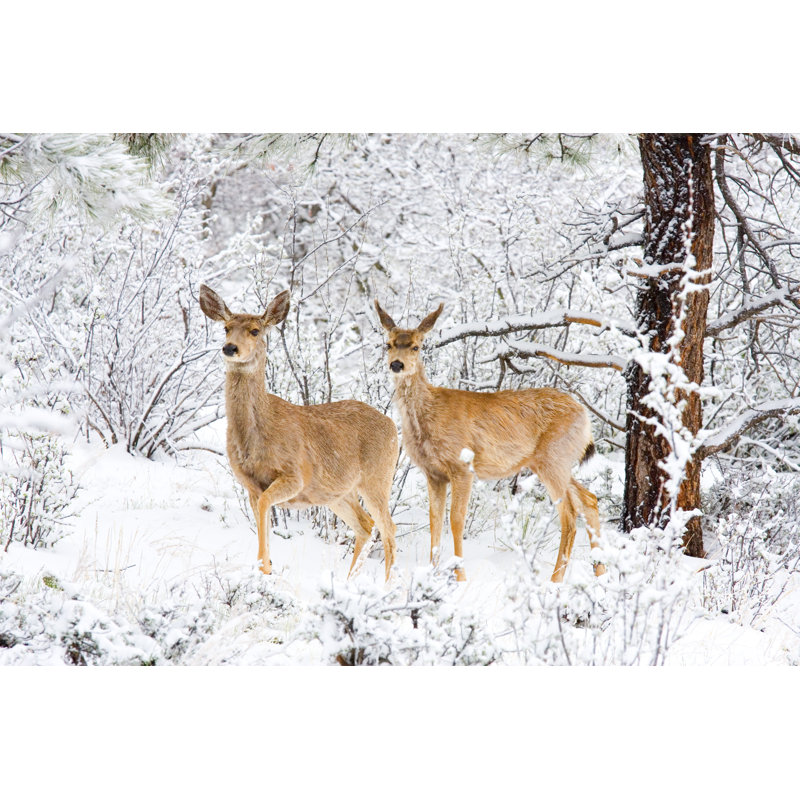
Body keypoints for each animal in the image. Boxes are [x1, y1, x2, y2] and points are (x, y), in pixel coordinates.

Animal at [199, 284, 399, 581]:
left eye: (255, 331)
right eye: (226, 327)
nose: (230, 347)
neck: (257, 436)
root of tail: (394, 426)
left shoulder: (295, 475)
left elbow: (265, 507)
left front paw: (264, 568)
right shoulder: (250, 485)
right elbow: (262, 516)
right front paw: (267, 569)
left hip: (377, 478)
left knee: (388, 527)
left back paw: (386, 585)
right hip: (337, 493)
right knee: (365, 524)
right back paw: (348, 582)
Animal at [374, 299, 605, 583]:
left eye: (417, 346)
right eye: (388, 343)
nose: (397, 365)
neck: (428, 415)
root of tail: (585, 417)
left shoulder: (462, 466)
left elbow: (456, 520)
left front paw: (460, 577)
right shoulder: (433, 473)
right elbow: (434, 520)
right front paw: (431, 573)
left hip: (554, 458)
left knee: (570, 515)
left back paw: (554, 581)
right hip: (552, 461)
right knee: (589, 500)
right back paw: (601, 571)